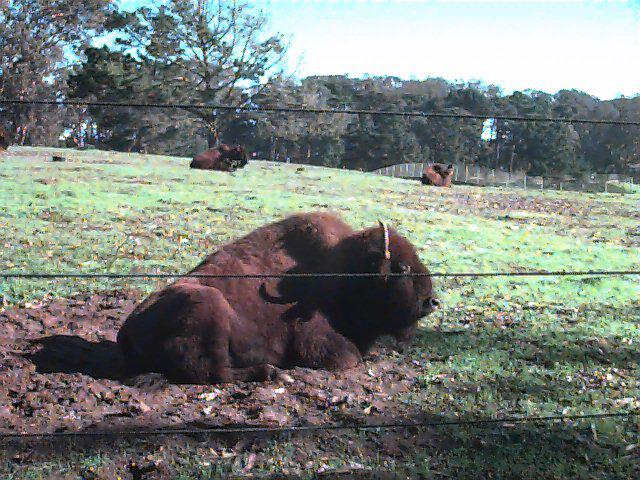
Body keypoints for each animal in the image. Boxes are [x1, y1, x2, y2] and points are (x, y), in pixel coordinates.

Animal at [117, 212, 439, 384]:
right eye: (402, 268)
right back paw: (275, 374)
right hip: (211, 305)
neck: (346, 269)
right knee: (213, 372)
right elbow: (349, 357)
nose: (431, 302)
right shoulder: (314, 338)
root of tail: (126, 330)